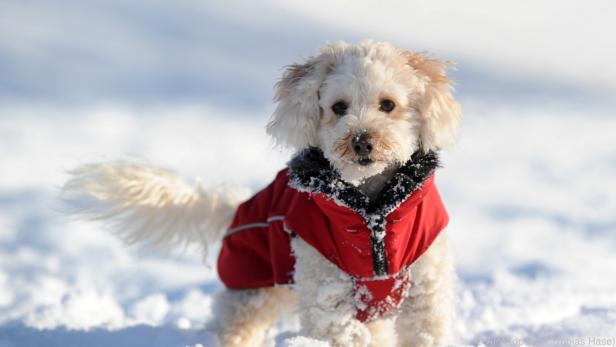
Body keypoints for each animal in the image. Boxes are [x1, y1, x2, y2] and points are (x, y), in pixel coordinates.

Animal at [65, 39, 462, 346]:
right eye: (338, 107)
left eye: (388, 105)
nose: (362, 141)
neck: (371, 212)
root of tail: (240, 205)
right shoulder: (327, 291)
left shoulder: (425, 291)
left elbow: (425, 331)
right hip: (248, 291)